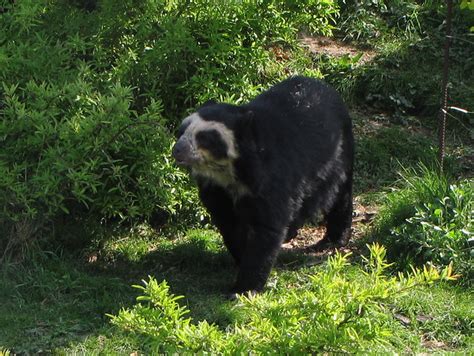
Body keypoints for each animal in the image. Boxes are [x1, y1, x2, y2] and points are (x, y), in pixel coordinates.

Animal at [172, 76, 354, 296]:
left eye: (204, 137)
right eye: (181, 131)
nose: (177, 150)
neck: (230, 171)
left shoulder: (270, 177)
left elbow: (266, 227)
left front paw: (242, 288)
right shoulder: (216, 189)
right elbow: (228, 222)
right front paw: (240, 257)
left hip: (339, 156)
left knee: (339, 196)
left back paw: (332, 240)